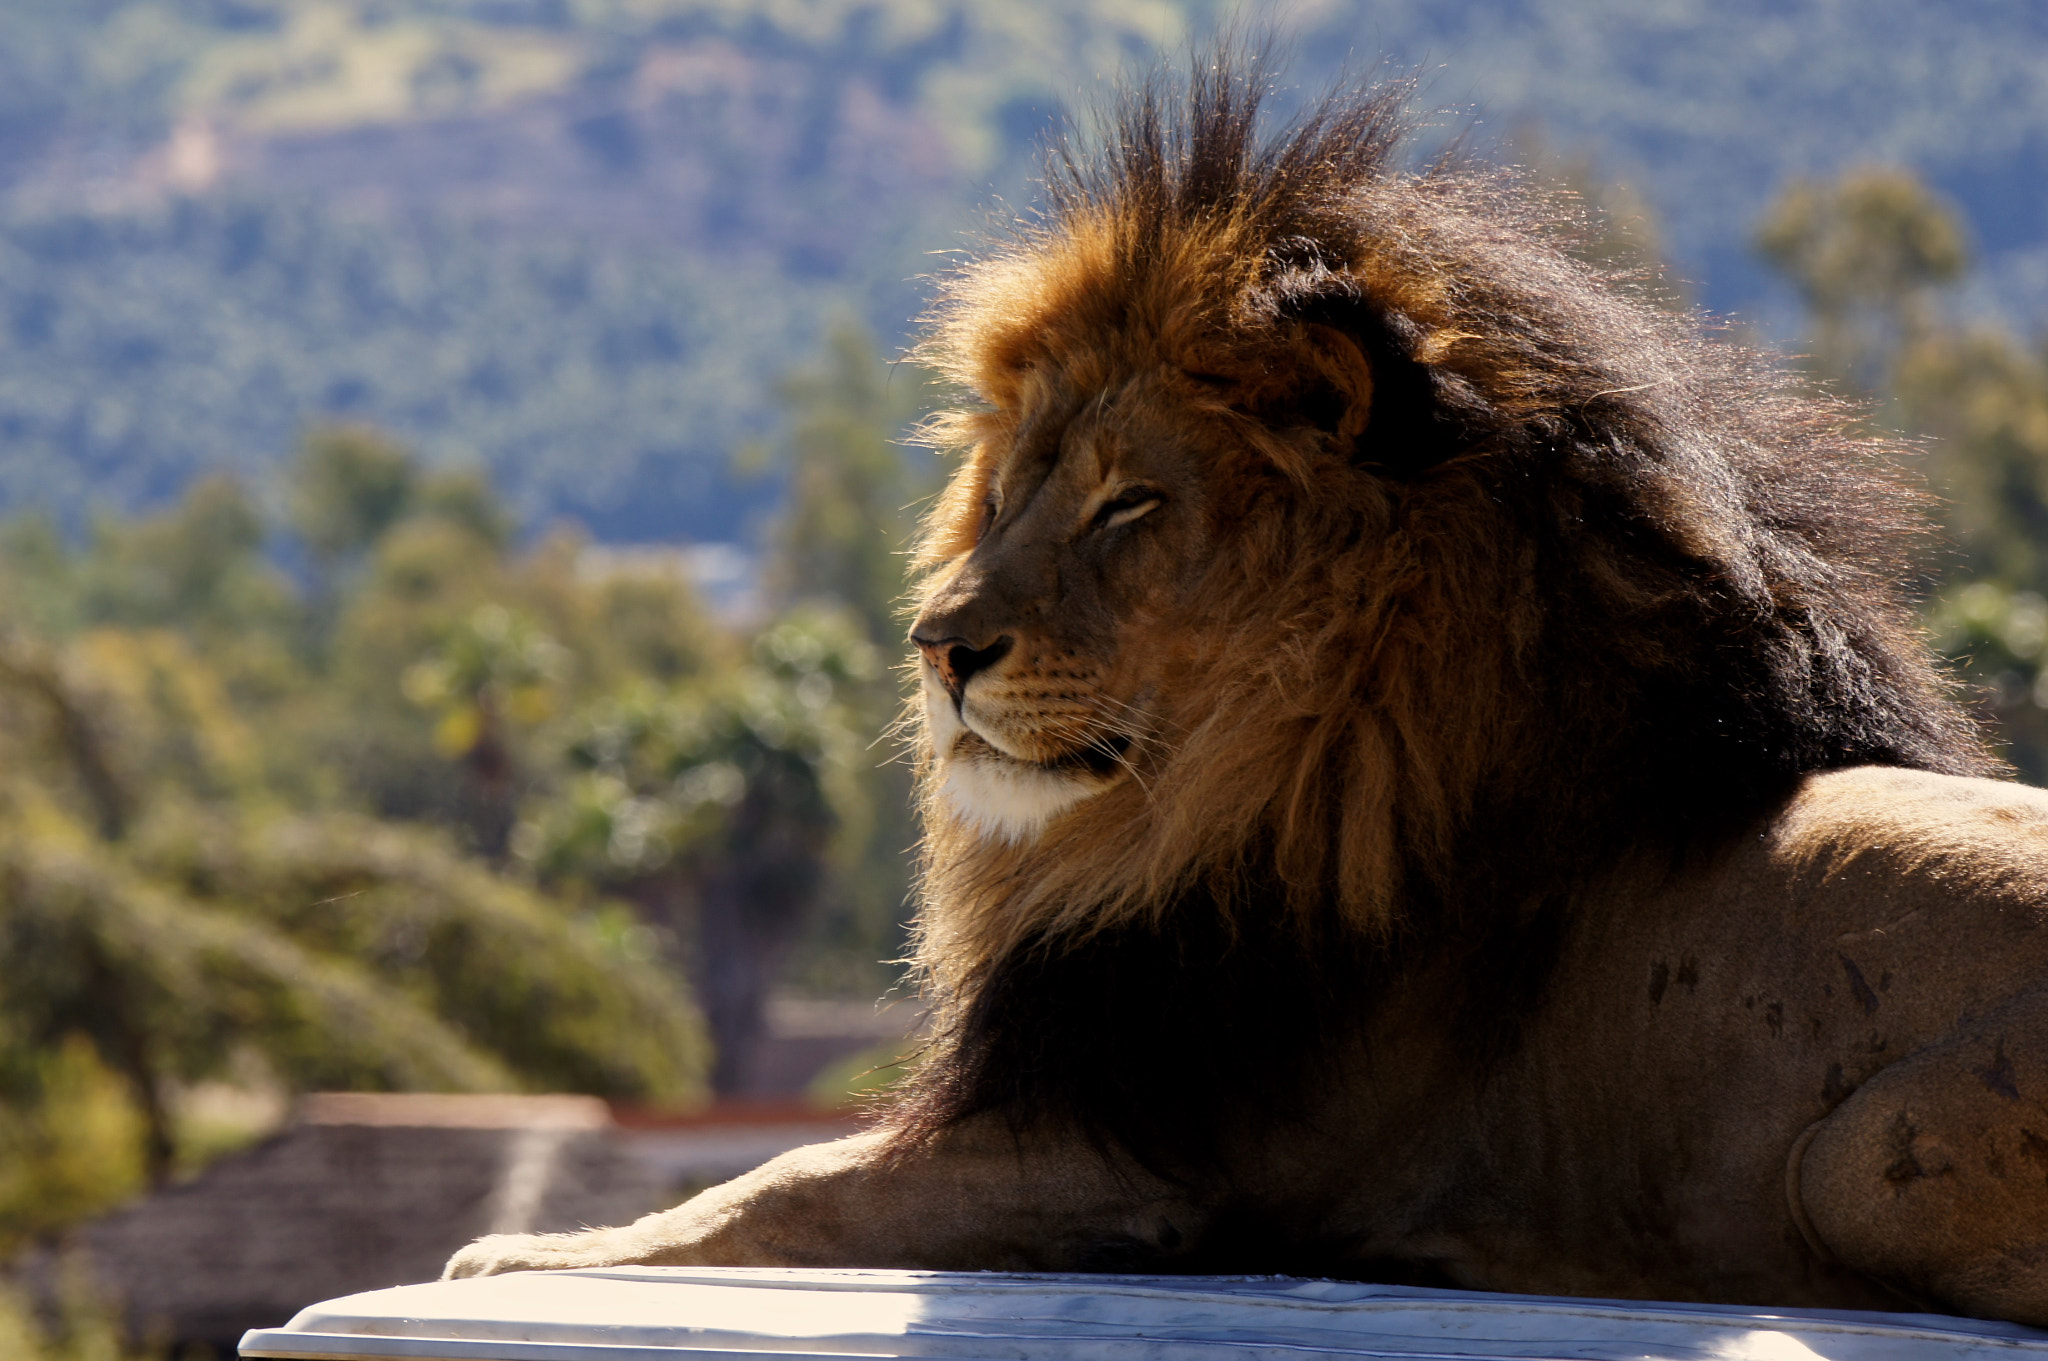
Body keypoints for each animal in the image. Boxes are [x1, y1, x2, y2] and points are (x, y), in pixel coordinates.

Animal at [452, 55, 2048, 1326]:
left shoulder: (1125, 1163)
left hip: (1855, 1163)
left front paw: (519, 1255)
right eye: (1011, 489)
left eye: (1128, 505)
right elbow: (770, 1175)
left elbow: (776, 1186)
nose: (937, 642)